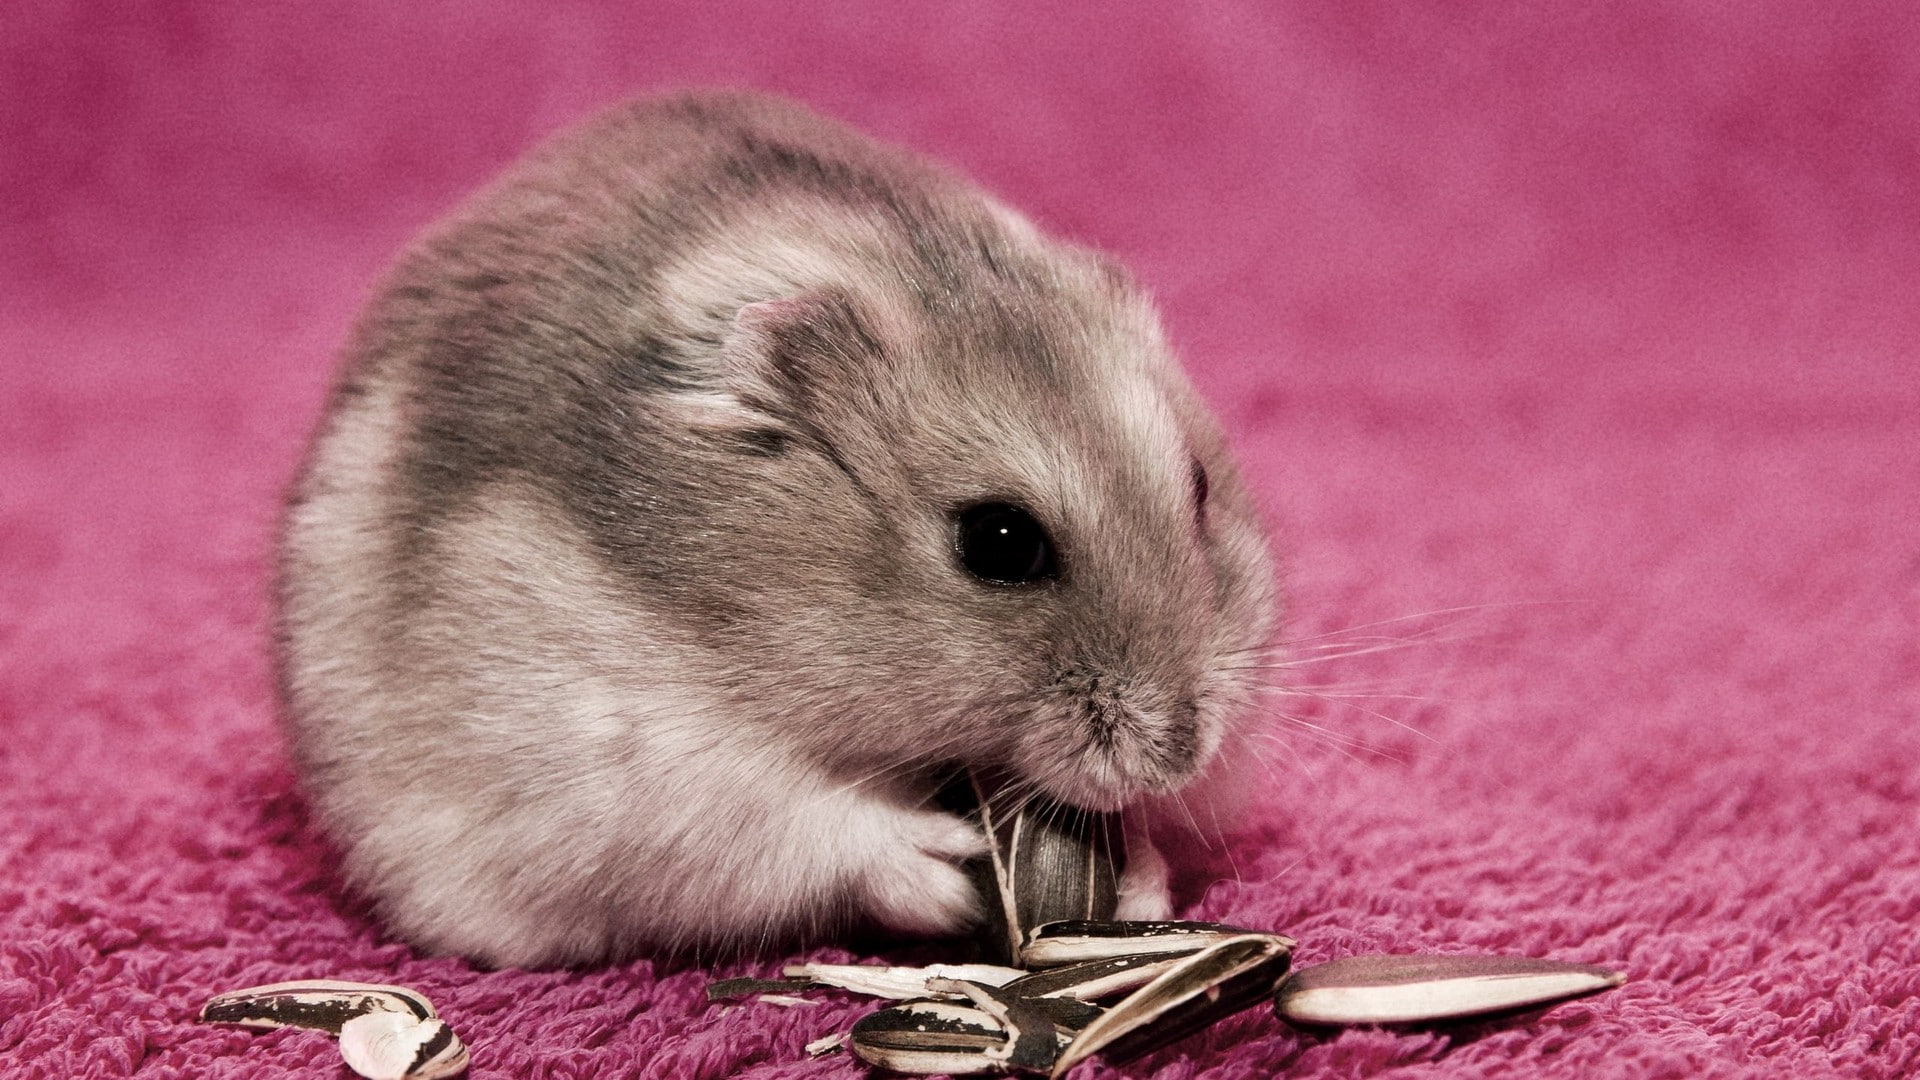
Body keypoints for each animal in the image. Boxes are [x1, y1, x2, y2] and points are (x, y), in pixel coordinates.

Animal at [276, 91, 1277, 968]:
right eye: (999, 543)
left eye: (1199, 488)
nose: (1181, 755)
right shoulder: (639, 769)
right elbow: (813, 825)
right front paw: (945, 867)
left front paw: (1141, 882)